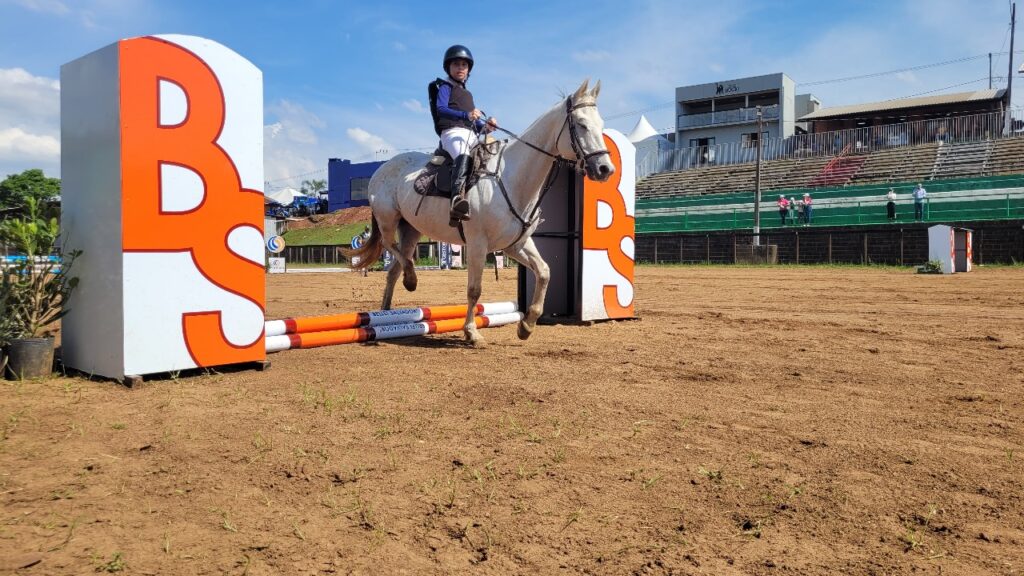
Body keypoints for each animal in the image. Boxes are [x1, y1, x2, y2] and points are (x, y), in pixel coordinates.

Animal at [346, 79, 615, 347]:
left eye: (601, 125)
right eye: (581, 125)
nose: (605, 169)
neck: (511, 178)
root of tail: (382, 168)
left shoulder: (515, 244)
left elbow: (544, 272)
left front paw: (527, 325)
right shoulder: (477, 243)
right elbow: (474, 289)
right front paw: (472, 332)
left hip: (411, 229)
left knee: (395, 267)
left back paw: (386, 312)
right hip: (388, 219)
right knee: (391, 247)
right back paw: (410, 280)